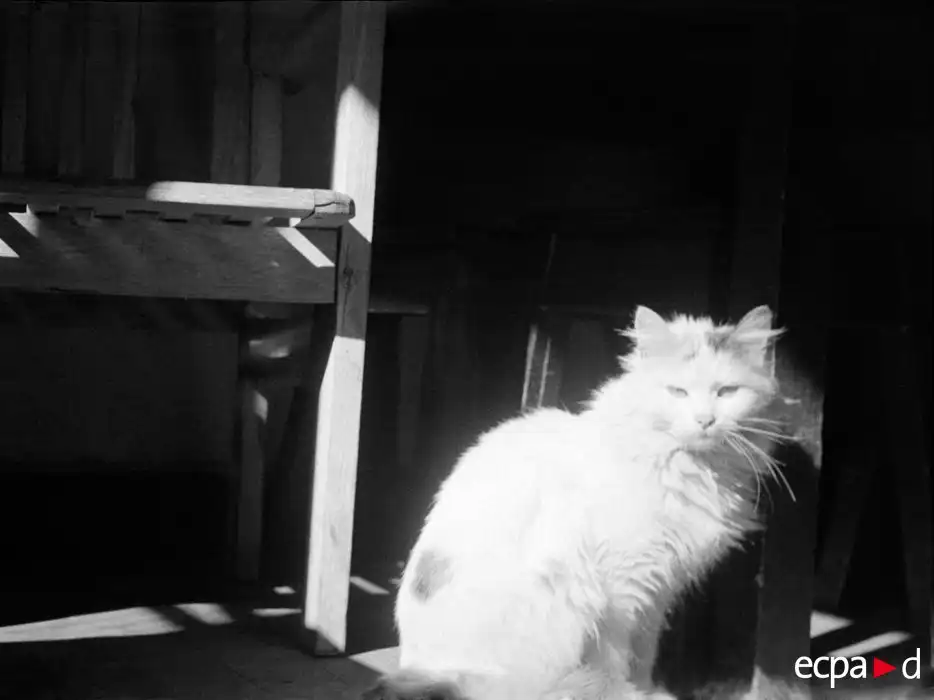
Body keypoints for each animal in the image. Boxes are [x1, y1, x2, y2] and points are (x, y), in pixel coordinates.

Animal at [365, 304, 787, 700]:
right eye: (677, 392)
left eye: (726, 392)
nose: (704, 420)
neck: (691, 469)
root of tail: (426, 670)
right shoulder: (622, 588)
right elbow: (617, 659)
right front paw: (627, 694)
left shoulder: (657, 591)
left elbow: (644, 655)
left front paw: (643, 688)